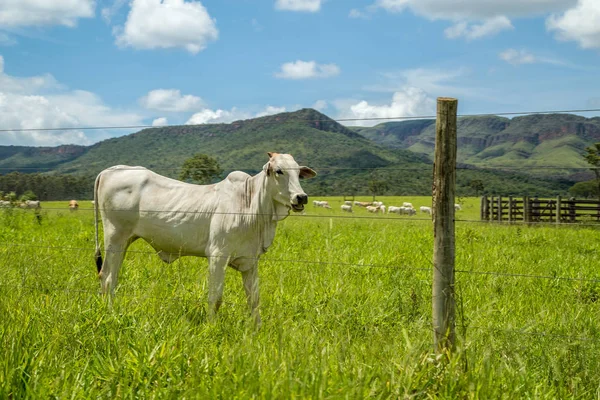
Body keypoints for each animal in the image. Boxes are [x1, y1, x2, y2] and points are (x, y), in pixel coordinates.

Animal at [94, 152, 316, 324]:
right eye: (279, 171)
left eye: (298, 172)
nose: (301, 197)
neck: (250, 204)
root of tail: (110, 170)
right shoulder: (218, 256)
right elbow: (215, 298)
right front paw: (211, 326)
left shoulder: (250, 260)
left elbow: (254, 299)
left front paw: (257, 328)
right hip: (115, 238)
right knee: (108, 278)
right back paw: (110, 313)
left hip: (125, 241)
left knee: (108, 277)